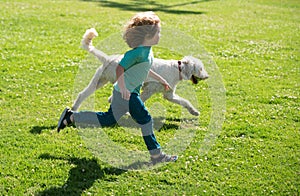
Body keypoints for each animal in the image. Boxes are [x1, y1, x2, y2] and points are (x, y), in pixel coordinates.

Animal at [72, 28, 209, 115]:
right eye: (201, 68)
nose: (207, 76)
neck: (177, 69)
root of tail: (109, 59)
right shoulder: (149, 90)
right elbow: (141, 101)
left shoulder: (169, 95)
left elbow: (185, 102)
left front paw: (194, 112)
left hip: (99, 81)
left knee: (82, 94)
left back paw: (74, 109)